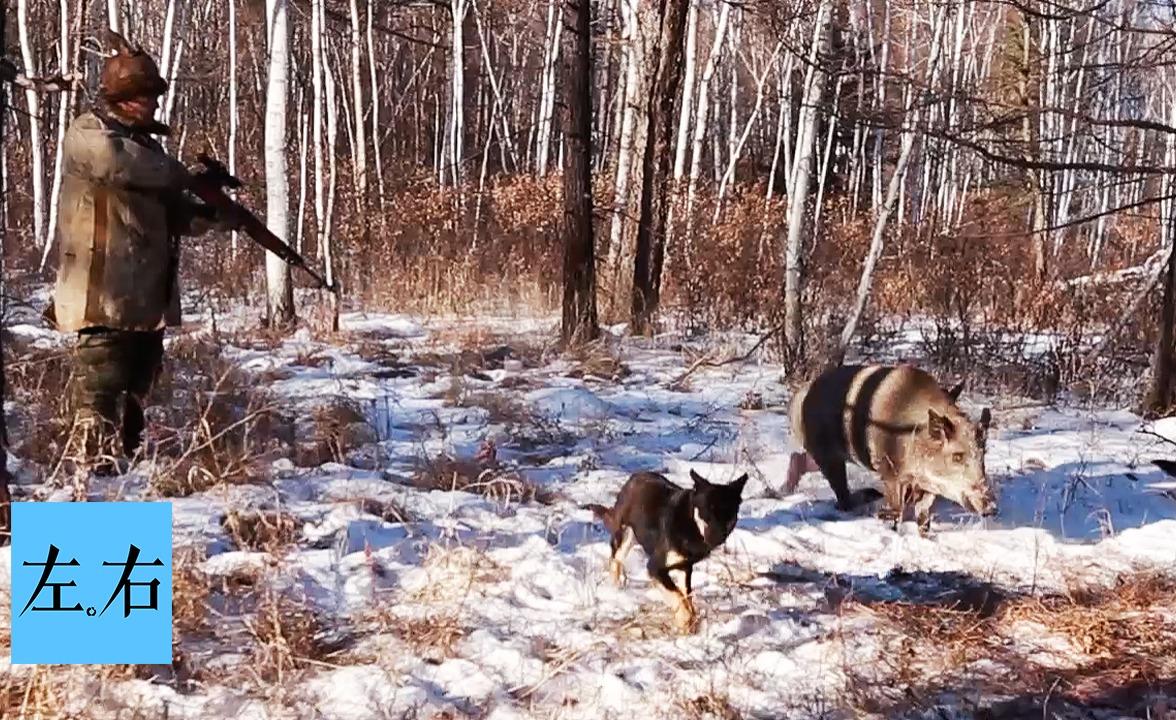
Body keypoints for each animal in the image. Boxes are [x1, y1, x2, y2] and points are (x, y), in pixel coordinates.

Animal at [585, 465, 747, 630]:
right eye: (706, 511)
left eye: (729, 515)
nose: (716, 537)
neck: (691, 523)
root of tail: (633, 478)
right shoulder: (655, 568)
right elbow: (678, 596)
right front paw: (685, 621)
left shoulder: (685, 567)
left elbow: (686, 595)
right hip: (625, 534)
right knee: (615, 560)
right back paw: (616, 589)